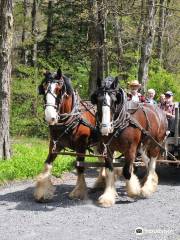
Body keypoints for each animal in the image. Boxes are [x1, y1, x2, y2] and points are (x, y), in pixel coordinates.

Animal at [34, 68, 100, 202]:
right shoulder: (55, 144)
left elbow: (80, 167)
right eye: (44, 88)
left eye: (59, 89)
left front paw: (78, 192)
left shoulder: (81, 146)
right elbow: (47, 165)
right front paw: (43, 192)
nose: (50, 117)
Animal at [90, 76, 168, 206]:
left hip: (155, 143)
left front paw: (133, 190)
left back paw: (147, 187)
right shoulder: (108, 148)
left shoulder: (131, 148)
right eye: (97, 100)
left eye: (114, 101)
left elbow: (127, 171)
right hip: (143, 146)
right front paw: (108, 197)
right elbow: (109, 170)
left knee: (152, 163)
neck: (122, 122)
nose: (105, 128)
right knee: (147, 160)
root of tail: (159, 111)